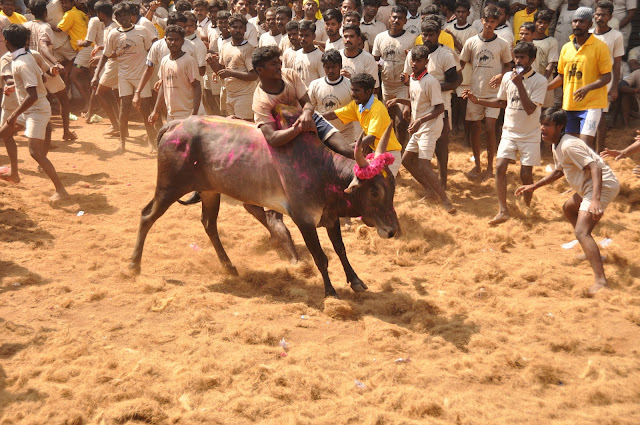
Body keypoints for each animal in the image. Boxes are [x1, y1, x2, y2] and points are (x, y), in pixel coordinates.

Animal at [129, 105, 400, 298]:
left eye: (392, 188)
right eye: (374, 192)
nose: (392, 231)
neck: (324, 171)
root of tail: (176, 124)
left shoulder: (330, 217)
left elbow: (340, 250)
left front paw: (356, 281)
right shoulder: (304, 220)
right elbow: (320, 257)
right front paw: (330, 292)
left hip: (209, 192)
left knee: (209, 224)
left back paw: (229, 266)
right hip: (170, 187)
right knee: (147, 215)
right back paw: (134, 265)